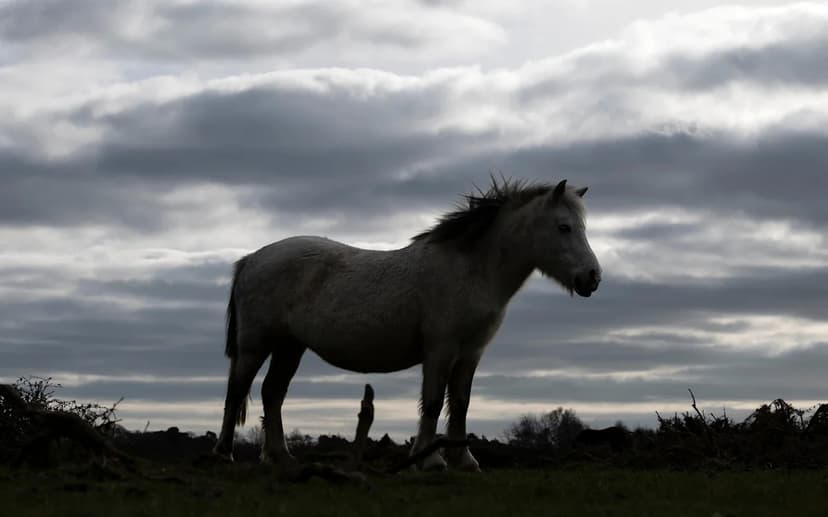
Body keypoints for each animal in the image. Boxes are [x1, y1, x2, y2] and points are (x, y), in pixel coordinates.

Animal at [213, 178, 601, 471]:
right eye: (564, 227)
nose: (592, 278)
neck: (470, 271)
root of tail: (253, 258)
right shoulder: (441, 350)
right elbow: (432, 402)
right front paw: (430, 461)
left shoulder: (470, 353)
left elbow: (461, 403)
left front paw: (464, 460)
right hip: (256, 345)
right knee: (237, 391)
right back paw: (224, 454)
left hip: (290, 347)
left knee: (272, 393)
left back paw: (279, 456)